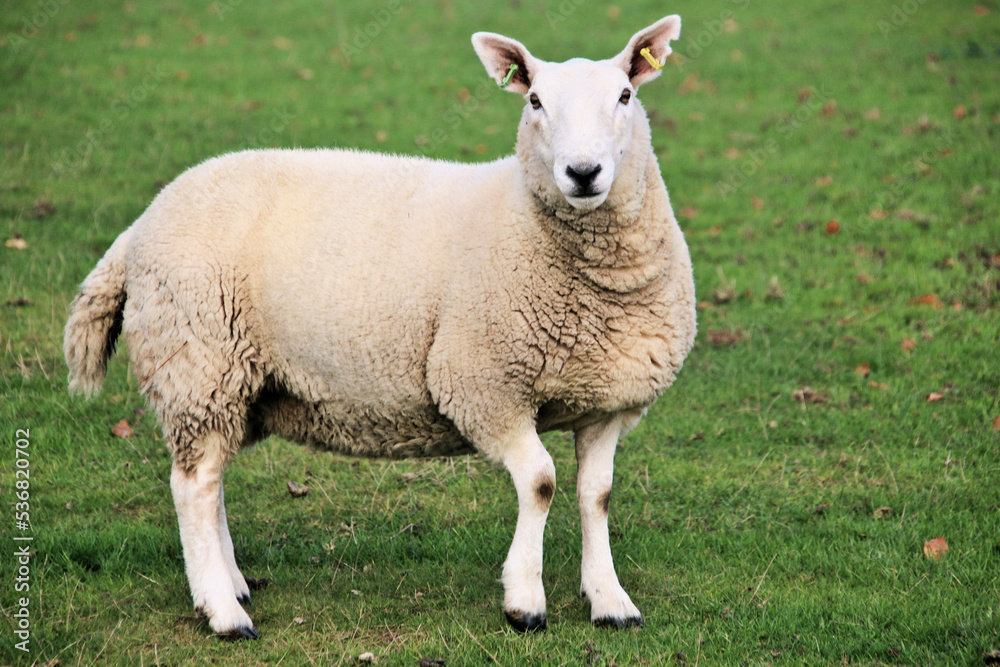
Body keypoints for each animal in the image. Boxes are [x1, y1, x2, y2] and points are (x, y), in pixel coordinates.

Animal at [64, 15, 696, 640]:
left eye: (626, 95)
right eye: (535, 100)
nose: (583, 173)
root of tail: (142, 223)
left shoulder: (607, 402)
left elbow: (597, 495)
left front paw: (610, 600)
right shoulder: (483, 385)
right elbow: (540, 482)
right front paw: (524, 603)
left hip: (233, 380)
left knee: (210, 478)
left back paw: (231, 584)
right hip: (197, 361)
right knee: (193, 485)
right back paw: (223, 612)